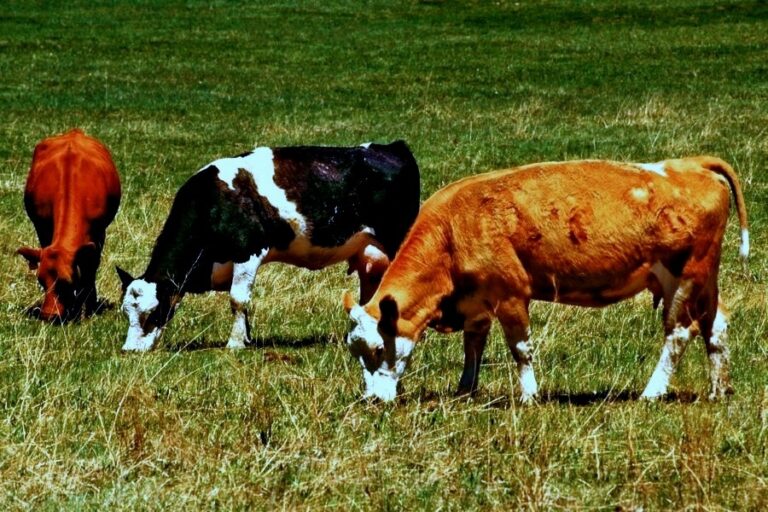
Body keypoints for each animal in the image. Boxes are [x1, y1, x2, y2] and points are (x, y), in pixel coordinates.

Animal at [17, 129, 121, 322]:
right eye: (41, 281)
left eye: (66, 282)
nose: (49, 315)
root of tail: (74, 132)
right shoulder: (42, 229)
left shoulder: (99, 234)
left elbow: (90, 268)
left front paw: (87, 307)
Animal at [116, 141, 420, 352]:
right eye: (126, 312)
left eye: (152, 312)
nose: (130, 350)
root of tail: (392, 147)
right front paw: (246, 337)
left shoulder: (247, 253)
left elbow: (238, 299)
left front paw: (235, 344)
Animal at [343, 156, 749, 403]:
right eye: (355, 351)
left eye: (378, 349)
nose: (372, 399)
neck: (453, 228)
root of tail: (689, 163)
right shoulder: (476, 302)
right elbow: (473, 346)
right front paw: (465, 390)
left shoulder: (510, 294)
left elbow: (520, 348)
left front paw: (528, 395)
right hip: (703, 284)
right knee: (716, 327)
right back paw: (718, 389)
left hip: (684, 279)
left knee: (678, 334)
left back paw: (652, 392)